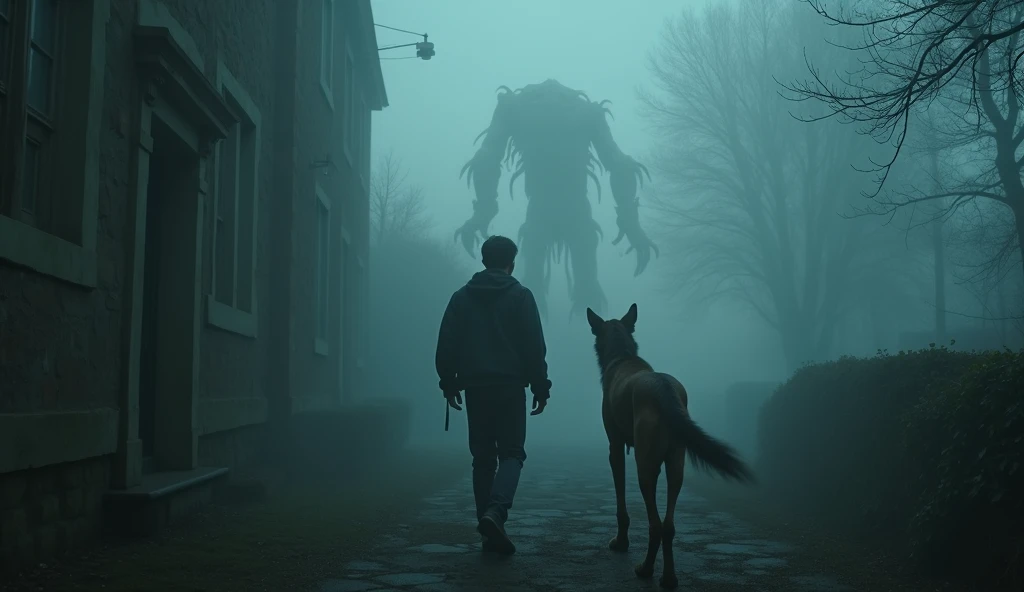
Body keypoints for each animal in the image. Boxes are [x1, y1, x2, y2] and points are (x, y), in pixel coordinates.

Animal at [589, 301, 757, 585]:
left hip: (645, 466)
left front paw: (621, 543)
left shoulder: (616, 448)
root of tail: (662, 389)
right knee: (668, 525)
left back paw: (645, 569)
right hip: (676, 463)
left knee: (656, 524)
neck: (622, 356)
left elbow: (621, 502)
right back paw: (668, 577)